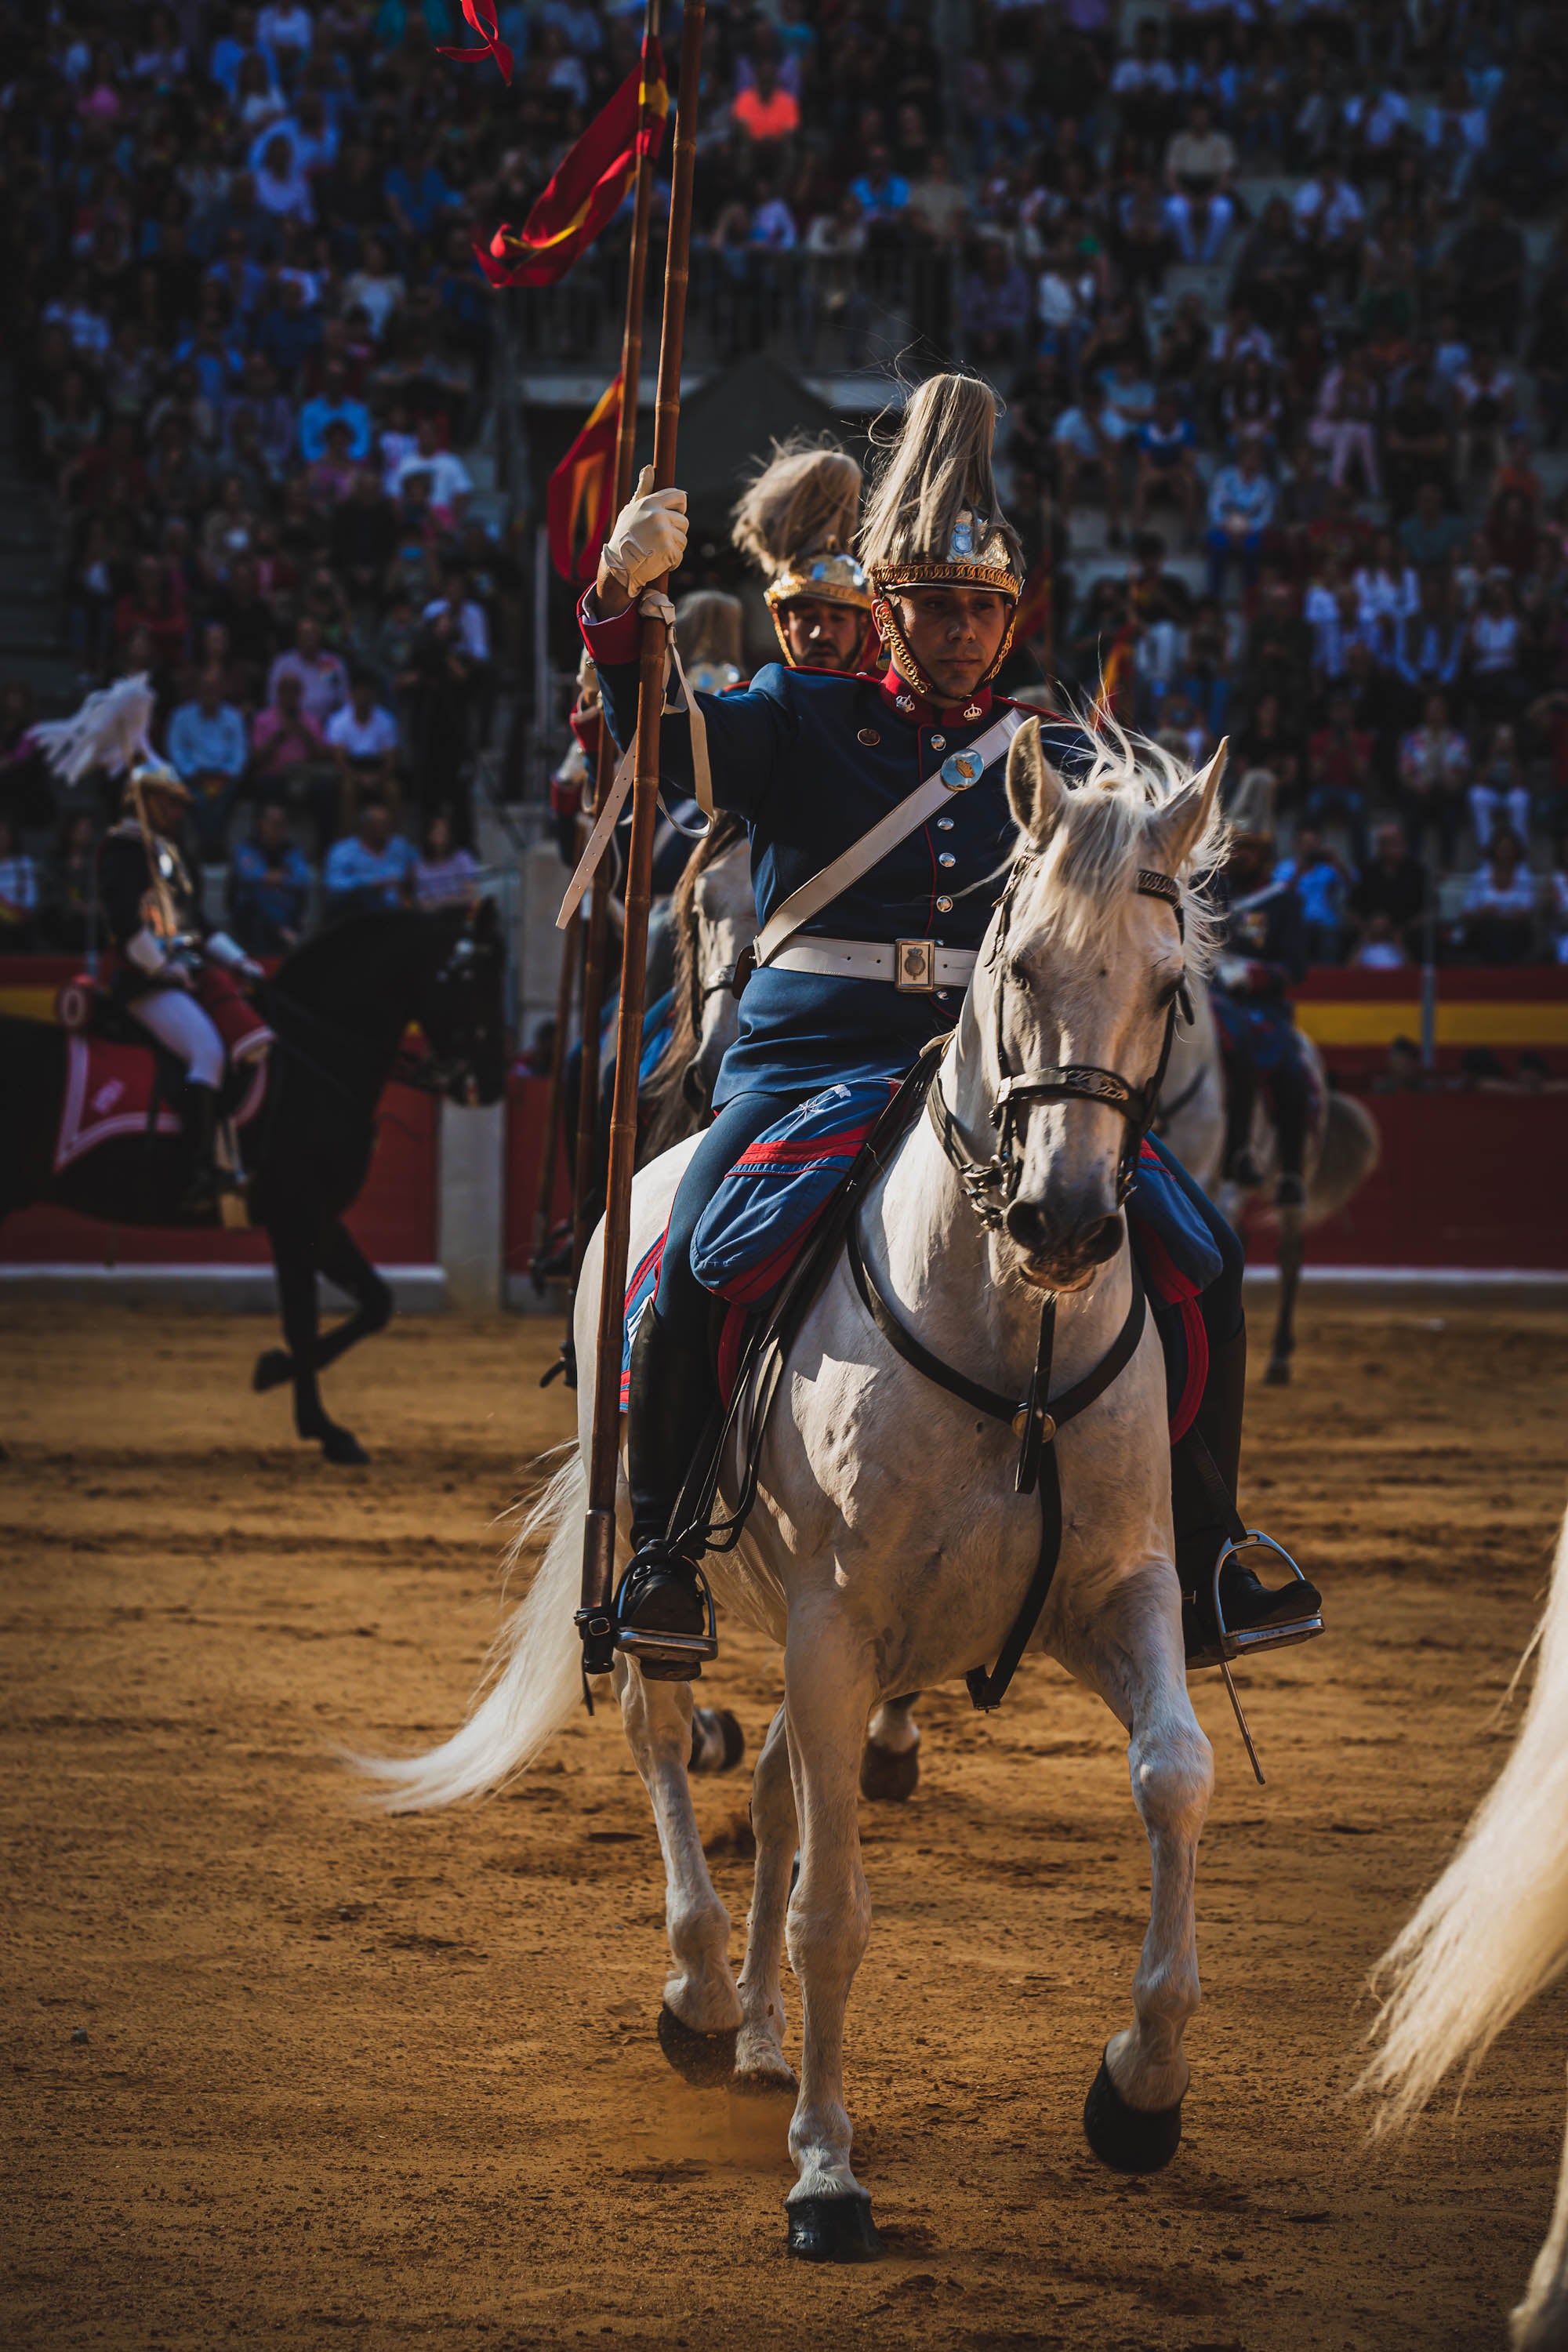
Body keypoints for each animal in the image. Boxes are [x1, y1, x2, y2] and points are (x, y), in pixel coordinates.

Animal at [1, 894, 510, 1449]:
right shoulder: (295, 1218)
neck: (316, 1056)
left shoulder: (321, 1217)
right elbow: (303, 1319)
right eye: (471, 980)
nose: (493, 1082)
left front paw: (273, 1373)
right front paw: (323, 1428)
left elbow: (376, 1301)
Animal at [361, 720, 1232, 2258]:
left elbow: (1174, 1778)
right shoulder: (839, 1625)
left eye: (1171, 985)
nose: (1067, 1219)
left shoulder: (1117, 1591)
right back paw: (709, 1995)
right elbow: (838, 1907)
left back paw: (761, 2035)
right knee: (663, 1733)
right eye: (1020, 967)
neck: (1013, 1332)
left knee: (769, 1785)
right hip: (682, 1583)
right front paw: (828, 2172)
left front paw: (1141, 2087)